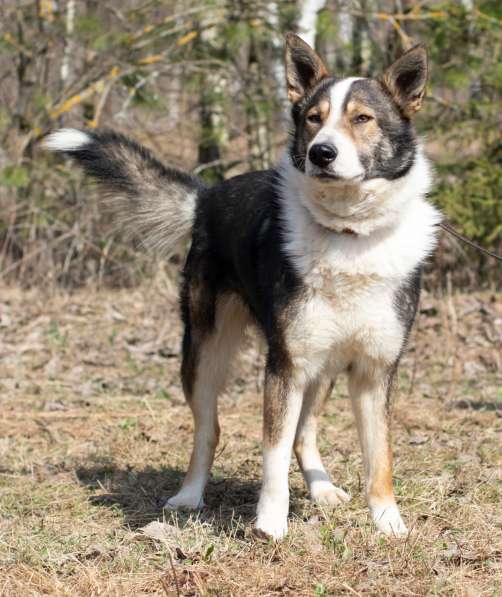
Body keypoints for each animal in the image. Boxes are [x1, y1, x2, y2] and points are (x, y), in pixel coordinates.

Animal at [45, 33, 442, 540]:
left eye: (362, 119)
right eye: (314, 119)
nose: (321, 153)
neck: (349, 234)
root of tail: (207, 196)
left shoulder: (374, 372)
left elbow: (380, 455)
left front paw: (389, 522)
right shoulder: (284, 367)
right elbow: (272, 452)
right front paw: (271, 523)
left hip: (320, 366)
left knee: (304, 432)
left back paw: (321, 489)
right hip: (207, 353)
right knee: (209, 430)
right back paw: (189, 495)